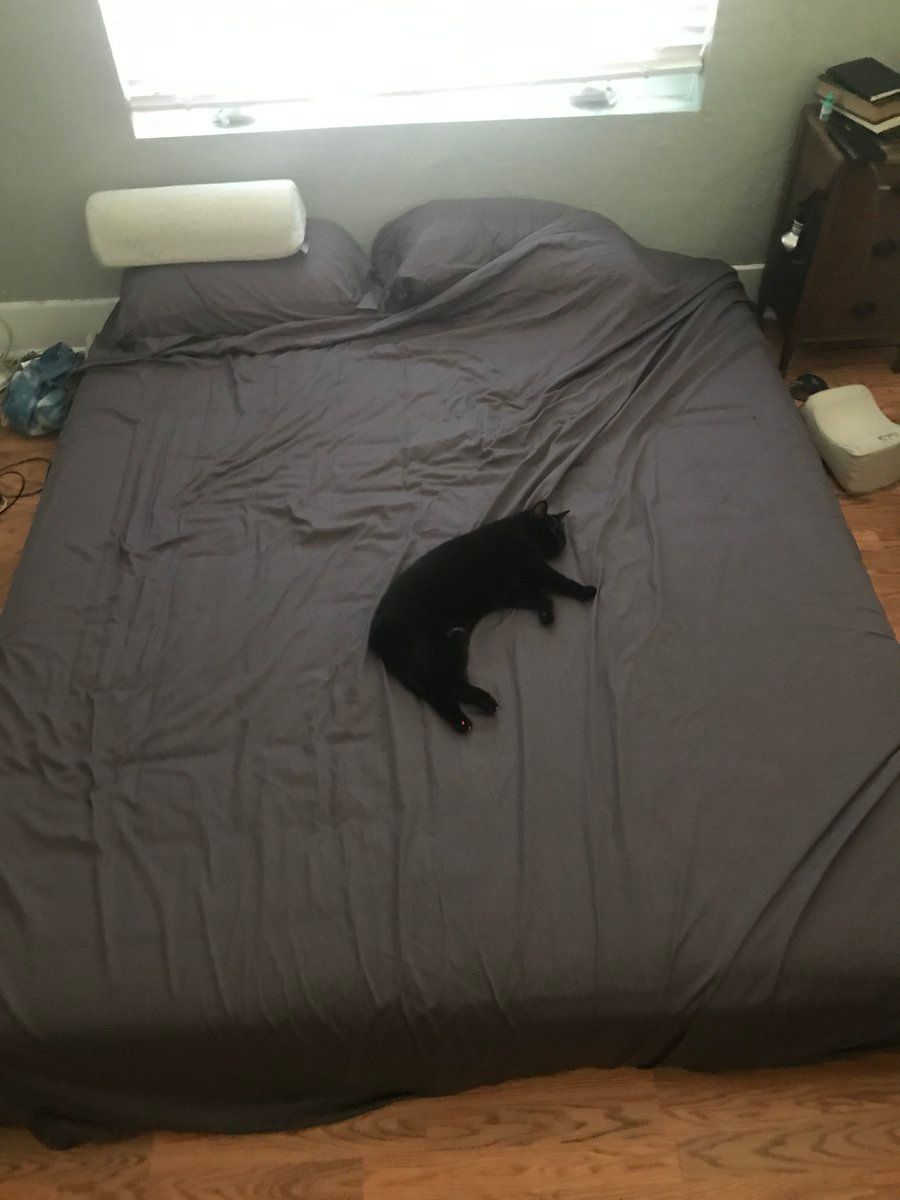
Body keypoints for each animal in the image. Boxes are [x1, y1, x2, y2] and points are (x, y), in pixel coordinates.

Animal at [369, 501, 596, 732]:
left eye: (563, 538)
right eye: (554, 532)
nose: (561, 545)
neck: (520, 528)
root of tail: (376, 636)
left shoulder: (510, 593)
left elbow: (541, 597)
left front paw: (546, 614)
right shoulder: (533, 567)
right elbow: (560, 582)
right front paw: (586, 591)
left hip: (442, 655)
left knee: (445, 689)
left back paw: (471, 714)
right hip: (428, 650)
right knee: (444, 686)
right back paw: (474, 710)